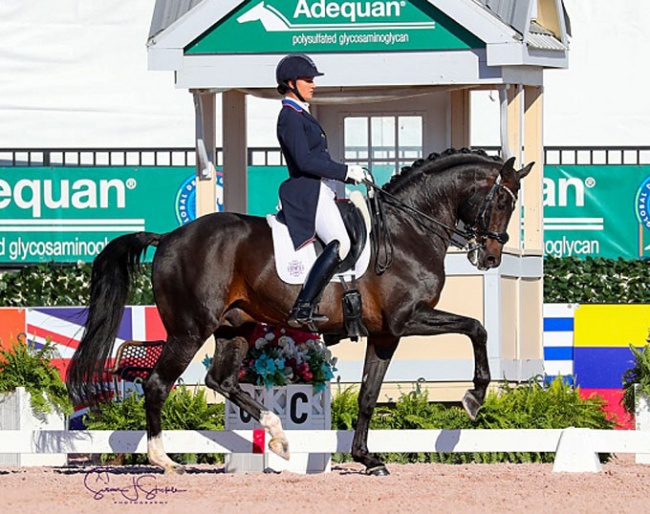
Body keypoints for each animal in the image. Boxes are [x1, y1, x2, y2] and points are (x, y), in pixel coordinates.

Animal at [66, 146, 532, 474]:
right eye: (502, 202)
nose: (491, 257)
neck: (407, 231)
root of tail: (168, 237)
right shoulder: (408, 319)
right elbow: (476, 328)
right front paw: (474, 397)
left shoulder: (387, 334)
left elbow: (368, 395)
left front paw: (368, 459)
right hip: (189, 330)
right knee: (158, 384)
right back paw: (166, 461)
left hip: (235, 328)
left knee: (220, 380)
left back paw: (277, 436)